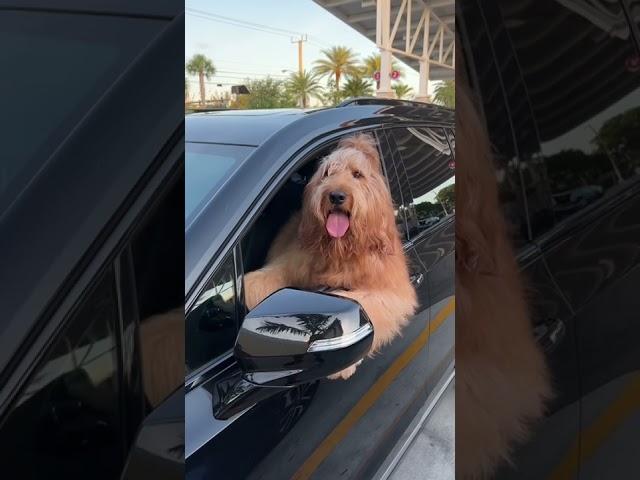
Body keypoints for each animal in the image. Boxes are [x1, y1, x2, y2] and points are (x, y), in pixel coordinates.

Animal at [242, 134, 418, 378]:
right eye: (327, 173)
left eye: (357, 174)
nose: (336, 195)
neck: (341, 248)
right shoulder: (292, 262)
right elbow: (260, 280)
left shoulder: (393, 289)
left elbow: (363, 301)